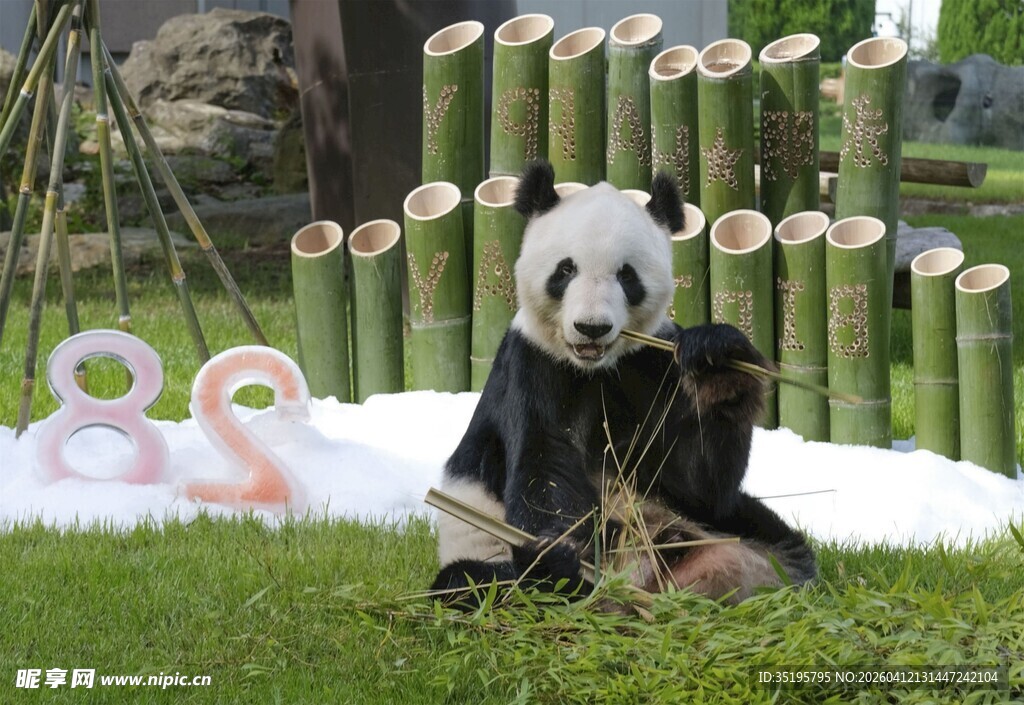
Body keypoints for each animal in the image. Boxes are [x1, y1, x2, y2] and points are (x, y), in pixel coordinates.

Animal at [431, 161, 816, 605]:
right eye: (566, 270)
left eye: (627, 276)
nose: (591, 328)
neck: (595, 367)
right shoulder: (532, 366)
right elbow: (545, 462)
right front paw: (557, 553)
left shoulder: (652, 364)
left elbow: (698, 479)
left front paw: (717, 361)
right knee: (472, 582)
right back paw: (560, 571)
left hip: (739, 526)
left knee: (775, 536)